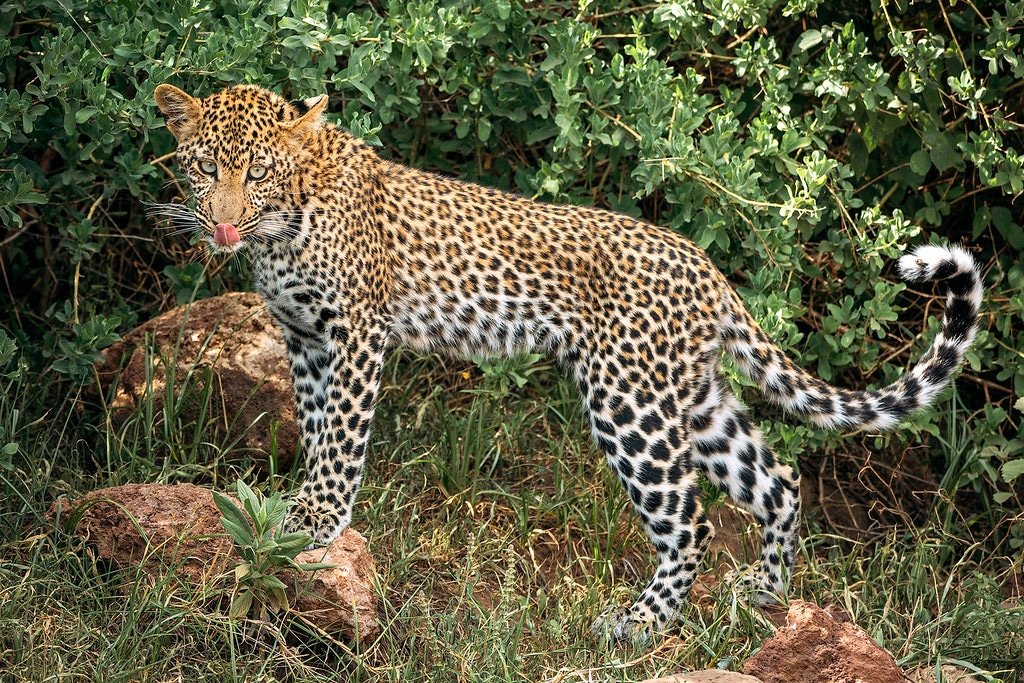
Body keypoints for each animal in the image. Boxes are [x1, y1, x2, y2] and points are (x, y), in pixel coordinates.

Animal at [152, 83, 983, 643]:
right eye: (205, 168)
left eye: (258, 172)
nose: (222, 225)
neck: (281, 230)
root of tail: (709, 269)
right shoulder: (303, 339)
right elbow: (317, 421)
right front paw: (296, 509)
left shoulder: (356, 332)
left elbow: (342, 438)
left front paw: (316, 520)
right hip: (694, 398)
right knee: (776, 478)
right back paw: (764, 596)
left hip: (626, 399)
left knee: (691, 520)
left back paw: (639, 625)